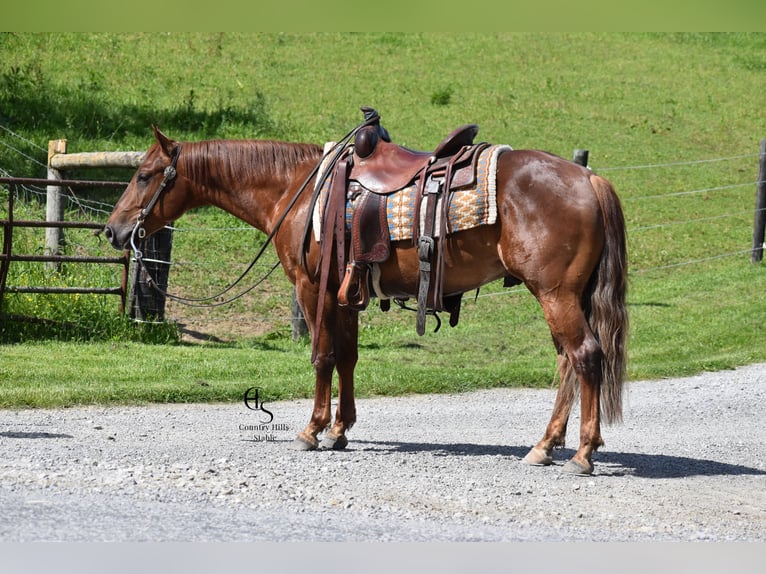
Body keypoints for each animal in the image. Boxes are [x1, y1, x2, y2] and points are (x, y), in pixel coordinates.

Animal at [104, 123, 628, 476]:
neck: (297, 190)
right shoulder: (345, 294)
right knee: (567, 362)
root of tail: (589, 179)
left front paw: (312, 430)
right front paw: (340, 429)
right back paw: (545, 446)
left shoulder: (312, 288)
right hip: (566, 297)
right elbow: (347, 357)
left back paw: (582, 453)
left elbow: (321, 356)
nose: (112, 230)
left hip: (556, 295)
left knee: (585, 356)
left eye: (145, 175)